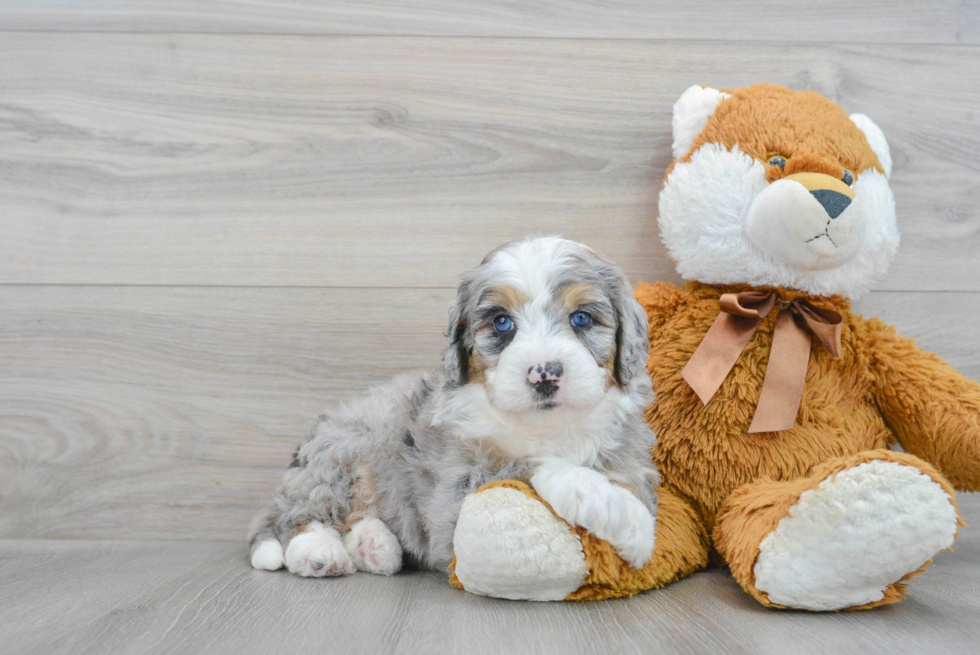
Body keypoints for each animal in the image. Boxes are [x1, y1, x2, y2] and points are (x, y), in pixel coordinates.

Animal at [247, 237, 660, 580]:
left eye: (582, 318)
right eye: (502, 323)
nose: (544, 373)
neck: (546, 429)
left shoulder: (628, 457)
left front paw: (633, 523)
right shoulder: (454, 494)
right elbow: (525, 465)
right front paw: (617, 511)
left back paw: (375, 547)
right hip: (340, 457)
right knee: (298, 516)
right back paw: (319, 553)